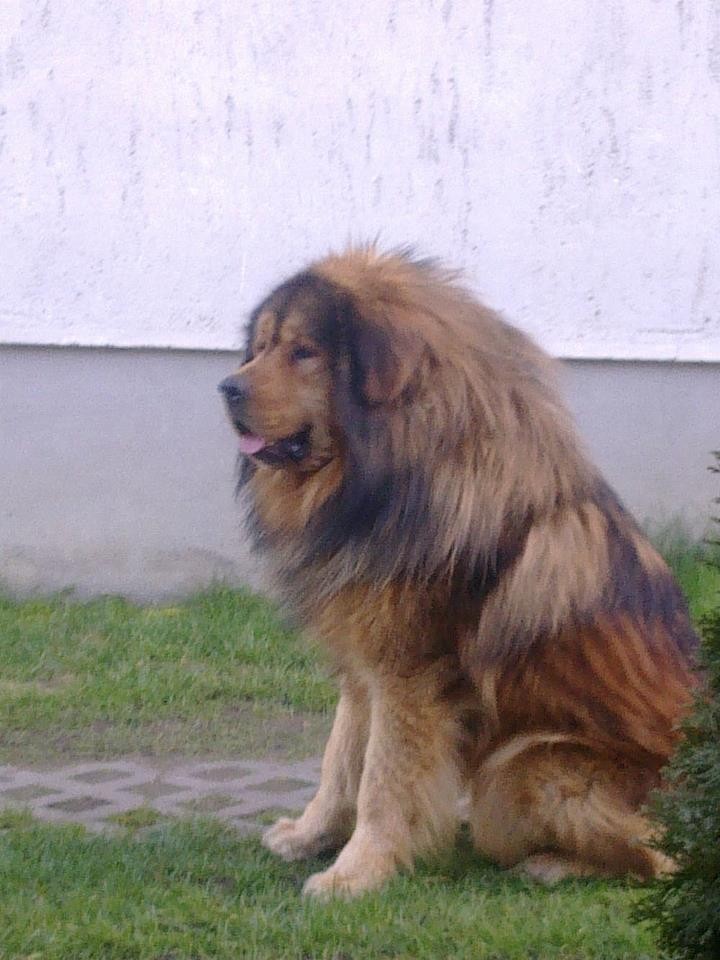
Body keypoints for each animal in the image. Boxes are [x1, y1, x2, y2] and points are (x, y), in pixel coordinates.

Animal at [219, 245, 698, 898]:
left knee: (663, 861)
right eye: (262, 345)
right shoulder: (364, 669)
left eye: (304, 351)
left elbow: (381, 782)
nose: (226, 387)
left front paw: (356, 873)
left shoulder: (410, 678)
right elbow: (340, 760)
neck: (391, 476)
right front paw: (311, 835)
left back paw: (553, 864)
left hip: (526, 768)